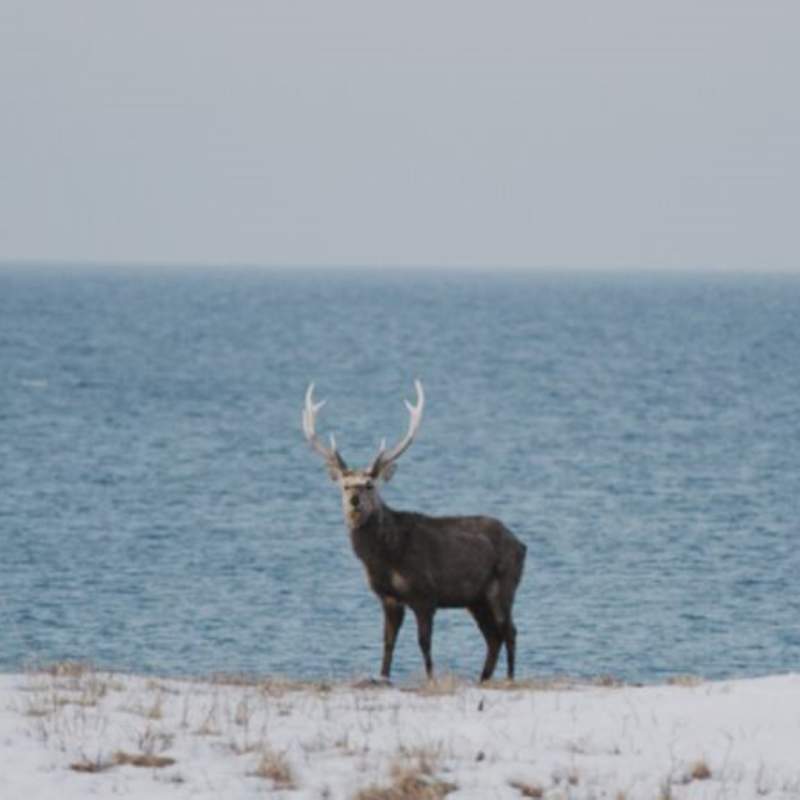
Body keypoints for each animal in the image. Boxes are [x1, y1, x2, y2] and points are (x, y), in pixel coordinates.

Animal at [302, 380, 527, 683]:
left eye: (370, 485)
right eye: (345, 486)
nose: (354, 501)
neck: (386, 559)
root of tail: (522, 545)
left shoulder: (425, 594)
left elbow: (424, 642)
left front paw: (431, 678)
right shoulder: (388, 597)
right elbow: (388, 642)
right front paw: (383, 677)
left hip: (504, 585)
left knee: (510, 631)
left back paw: (510, 678)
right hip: (476, 599)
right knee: (493, 636)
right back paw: (483, 678)